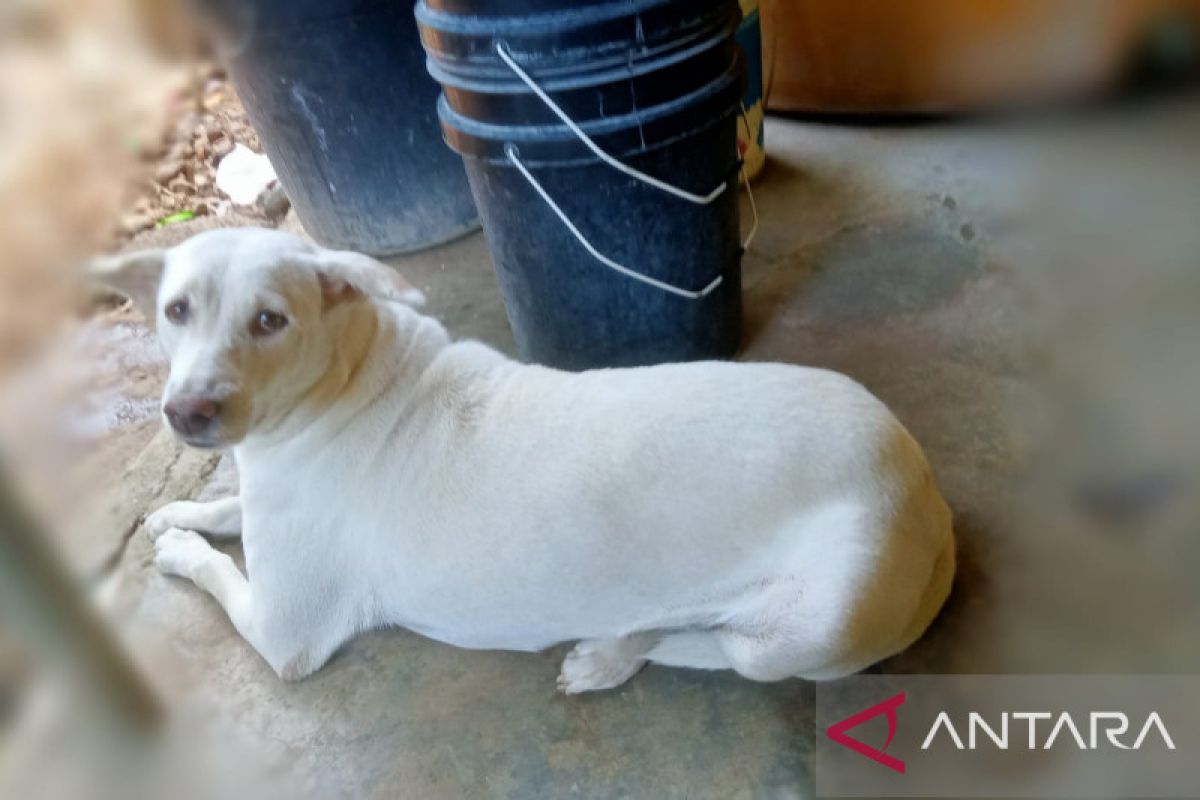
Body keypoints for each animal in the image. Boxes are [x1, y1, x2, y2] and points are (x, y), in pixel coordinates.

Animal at [91, 226, 955, 695]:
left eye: (270, 320)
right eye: (175, 311)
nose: (187, 412)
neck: (347, 379)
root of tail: (928, 496)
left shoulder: (283, 631)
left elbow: (215, 568)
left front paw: (179, 546)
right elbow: (228, 504)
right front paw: (178, 510)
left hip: (806, 629)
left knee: (720, 651)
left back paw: (609, 655)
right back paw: (616, 647)